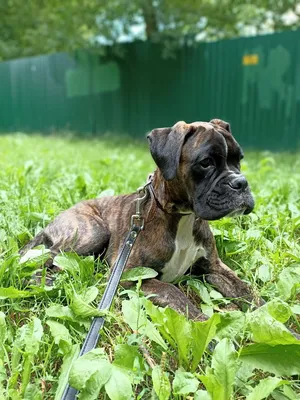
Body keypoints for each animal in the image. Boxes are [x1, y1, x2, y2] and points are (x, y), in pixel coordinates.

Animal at [21, 119, 258, 322]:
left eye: (239, 159)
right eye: (206, 163)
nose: (241, 183)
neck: (183, 217)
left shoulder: (214, 268)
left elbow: (246, 290)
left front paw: (265, 319)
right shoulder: (129, 275)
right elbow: (174, 293)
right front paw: (207, 330)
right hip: (94, 232)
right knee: (44, 259)